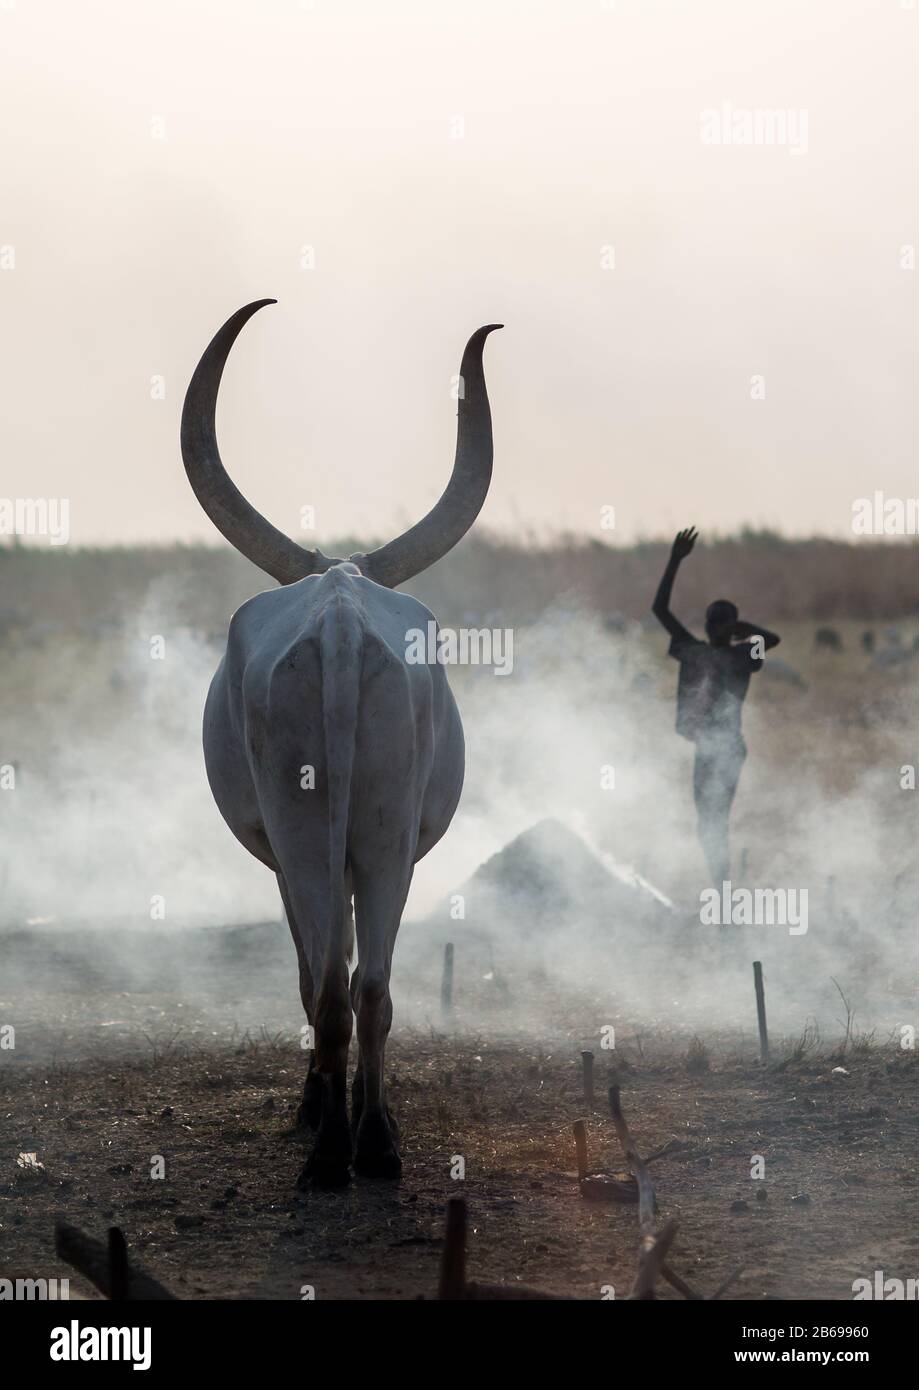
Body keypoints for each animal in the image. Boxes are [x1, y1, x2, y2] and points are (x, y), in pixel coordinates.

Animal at [177, 301, 494, 1184]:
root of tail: (341, 622)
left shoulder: (293, 857)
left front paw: (323, 1101)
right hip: (378, 839)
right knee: (363, 986)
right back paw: (366, 1141)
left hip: (309, 834)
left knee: (329, 984)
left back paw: (333, 1143)